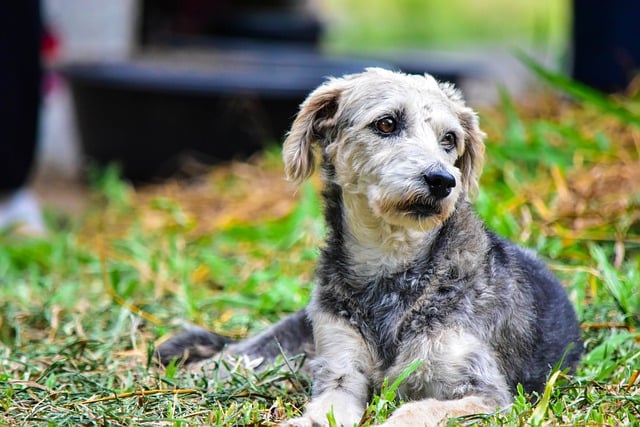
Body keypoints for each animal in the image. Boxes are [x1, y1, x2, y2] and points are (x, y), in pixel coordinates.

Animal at [158, 68, 584, 426]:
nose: (442, 180)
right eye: (386, 123)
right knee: (239, 355)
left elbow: (415, 411)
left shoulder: (486, 394)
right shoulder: (341, 370)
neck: (391, 266)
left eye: (449, 139)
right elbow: (327, 410)